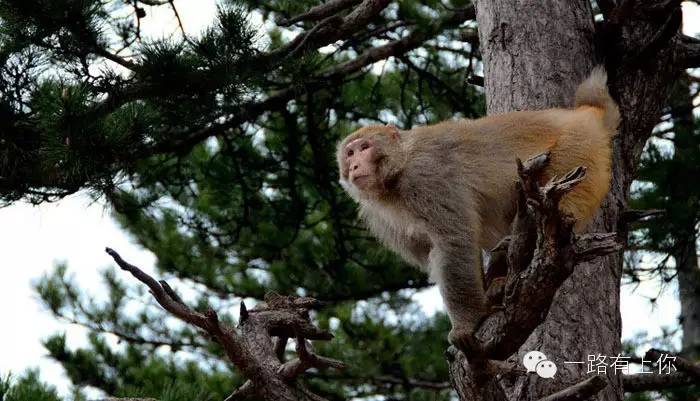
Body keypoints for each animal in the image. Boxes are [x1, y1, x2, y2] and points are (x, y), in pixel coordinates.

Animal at [336, 67, 620, 348]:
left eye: (365, 148)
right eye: (350, 153)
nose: (355, 166)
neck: (396, 175)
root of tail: (584, 114)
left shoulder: (426, 178)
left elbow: (454, 241)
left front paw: (468, 323)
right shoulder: (378, 215)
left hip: (577, 152)